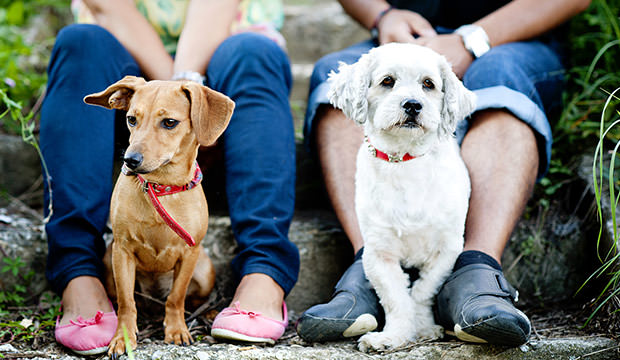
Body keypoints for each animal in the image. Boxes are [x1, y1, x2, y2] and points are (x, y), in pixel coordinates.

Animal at [85, 74, 235, 356]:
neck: (160, 186)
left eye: (169, 123)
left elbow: (176, 298)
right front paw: (122, 337)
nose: (130, 160)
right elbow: (126, 302)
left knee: (190, 298)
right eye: (131, 119)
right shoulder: (122, 252)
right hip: (108, 263)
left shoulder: (189, 254)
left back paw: (208, 312)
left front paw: (176, 330)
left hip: (204, 271)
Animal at [326, 43, 478, 352]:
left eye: (428, 84)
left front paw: (423, 328)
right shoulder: (379, 253)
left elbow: (422, 291)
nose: (413, 104)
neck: (405, 161)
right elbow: (396, 298)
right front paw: (392, 336)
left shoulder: (447, 248)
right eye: (387, 81)